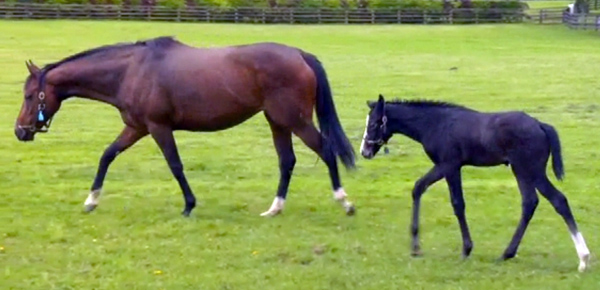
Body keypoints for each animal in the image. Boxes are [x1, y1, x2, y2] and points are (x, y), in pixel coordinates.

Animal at [14, 36, 356, 216]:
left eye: (30, 95)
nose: (20, 131)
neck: (132, 70)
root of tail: (299, 54)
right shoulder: (137, 128)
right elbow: (107, 155)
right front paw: (91, 200)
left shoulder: (158, 127)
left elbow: (175, 165)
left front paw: (189, 205)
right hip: (278, 122)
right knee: (287, 161)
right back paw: (275, 208)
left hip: (295, 121)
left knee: (326, 150)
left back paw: (344, 201)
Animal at [360, 94, 592, 270]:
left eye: (373, 123)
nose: (364, 151)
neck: (436, 124)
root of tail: (540, 125)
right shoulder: (449, 167)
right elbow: (419, 189)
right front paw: (416, 247)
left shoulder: (449, 165)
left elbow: (455, 203)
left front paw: (465, 249)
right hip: (526, 171)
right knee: (535, 202)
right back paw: (510, 253)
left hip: (529, 170)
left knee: (553, 200)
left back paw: (582, 259)